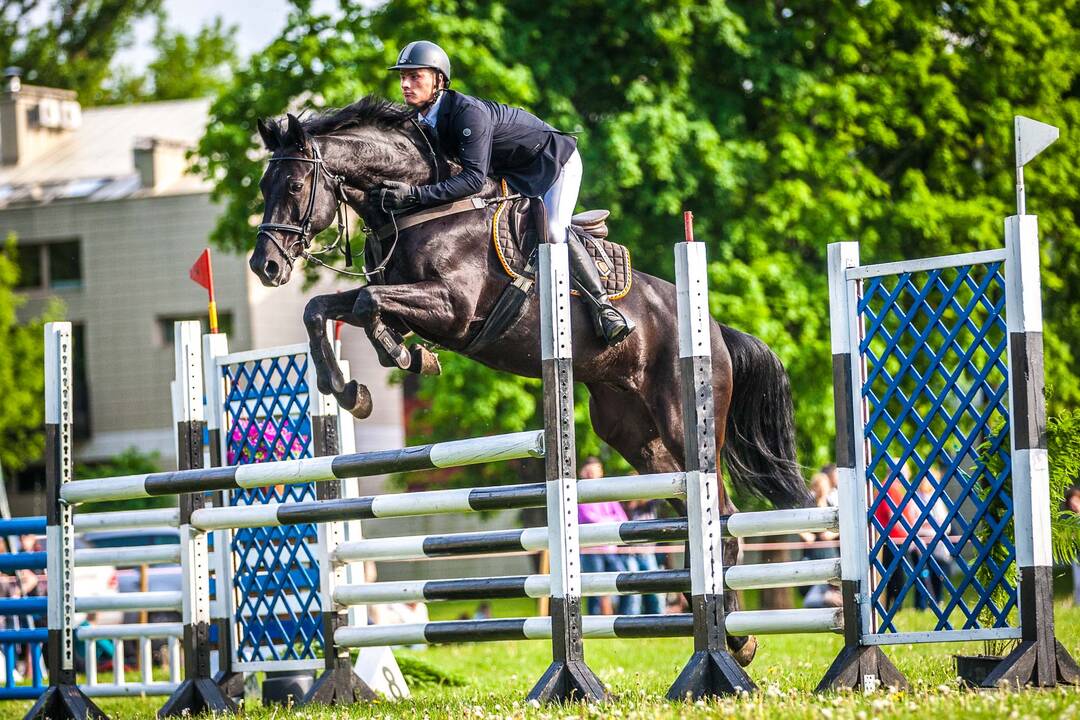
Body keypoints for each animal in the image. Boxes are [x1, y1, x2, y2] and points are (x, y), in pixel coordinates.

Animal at [250, 95, 812, 664]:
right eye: (263, 187)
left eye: (293, 187)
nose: (265, 266)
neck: (420, 210)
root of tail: (714, 328)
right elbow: (323, 309)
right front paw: (352, 388)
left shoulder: (453, 309)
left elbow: (368, 302)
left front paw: (401, 356)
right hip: (632, 434)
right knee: (691, 511)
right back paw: (725, 631)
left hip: (684, 420)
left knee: (723, 516)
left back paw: (736, 643)